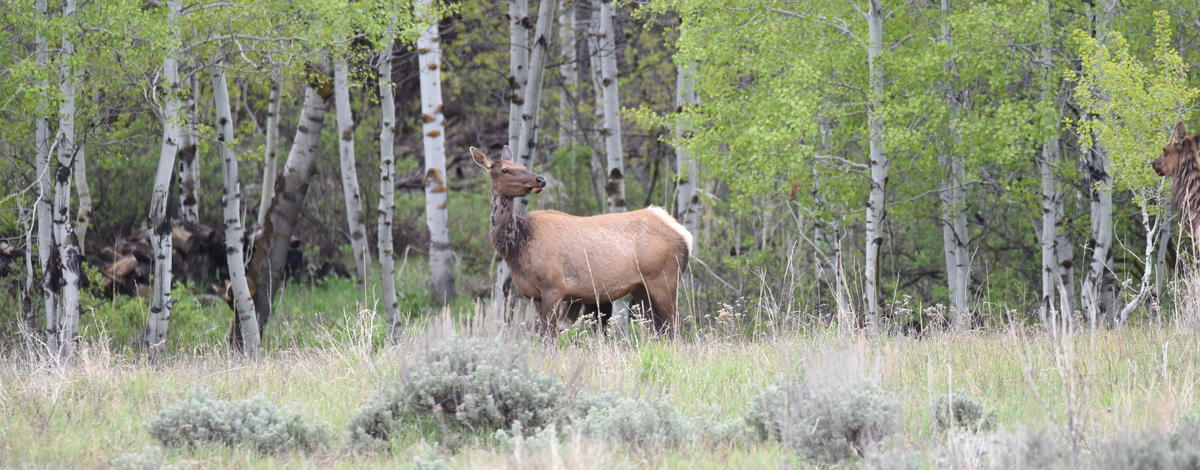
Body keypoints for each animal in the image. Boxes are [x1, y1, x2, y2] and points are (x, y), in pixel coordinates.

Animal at [471, 146, 693, 336]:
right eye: (506, 169)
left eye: (523, 166)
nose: (540, 179)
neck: (517, 247)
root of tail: (685, 235)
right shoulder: (534, 295)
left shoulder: (554, 287)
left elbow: (550, 337)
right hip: (641, 287)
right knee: (657, 330)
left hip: (664, 278)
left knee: (674, 327)